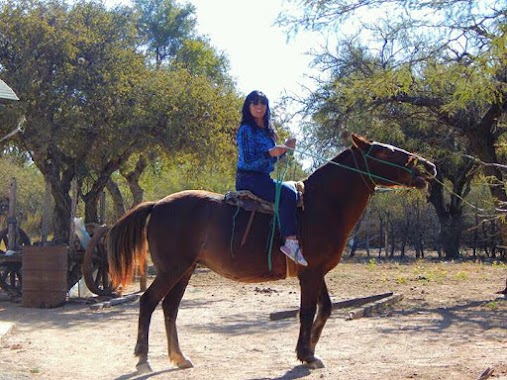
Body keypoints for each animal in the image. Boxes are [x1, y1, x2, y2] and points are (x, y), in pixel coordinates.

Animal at [106, 134, 436, 372]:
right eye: (383, 152)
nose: (428, 167)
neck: (320, 205)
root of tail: (158, 205)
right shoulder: (310, 274)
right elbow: (307, 311)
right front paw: (306, 355)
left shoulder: (314, 271)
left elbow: (326, 308)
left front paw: (310, 349)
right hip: (172, 270)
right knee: (149, 302)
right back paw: (143, 359)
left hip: (185, 271)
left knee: (169, 308)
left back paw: (179, 357)